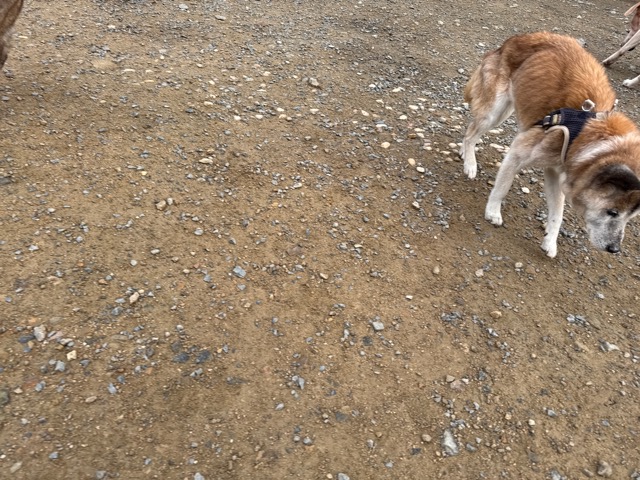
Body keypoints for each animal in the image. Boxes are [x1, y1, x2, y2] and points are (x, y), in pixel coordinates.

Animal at [461, 31, 640, 258]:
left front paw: (550, 242)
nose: (614, 249)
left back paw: (463, 154)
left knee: (471, 130)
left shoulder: (555, 173)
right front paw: (493, 212)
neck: (587, 135)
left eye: (630, 218)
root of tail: (514, 39)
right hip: (494, 113)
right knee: (470, 134)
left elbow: (557, 214)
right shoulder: (518, 152)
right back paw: (470, 164)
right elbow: (502, 187)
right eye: (613, 212)